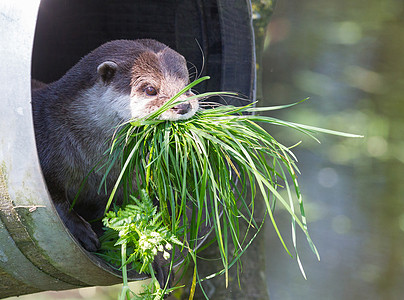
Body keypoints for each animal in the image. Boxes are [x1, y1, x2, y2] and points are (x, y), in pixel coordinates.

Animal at [32, 38, 200, 288]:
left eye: (187, 85)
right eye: (150, 89)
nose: (183, 106)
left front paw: (159, 262)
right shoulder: (45, 150)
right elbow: (53, 202)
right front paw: (82, 232)